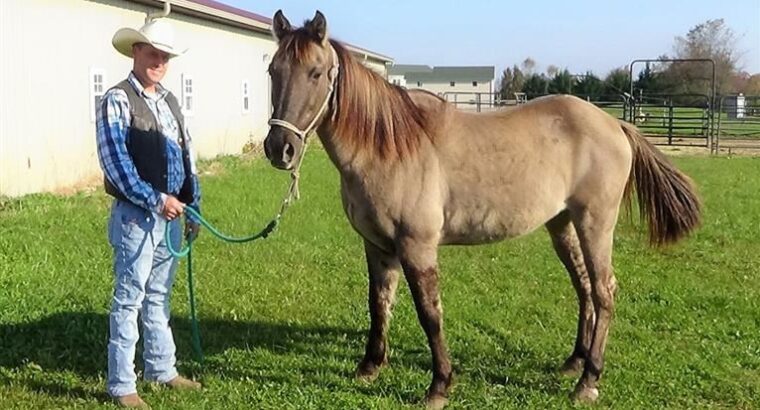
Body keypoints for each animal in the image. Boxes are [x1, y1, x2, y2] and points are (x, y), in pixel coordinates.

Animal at [262, 8, 700, 406]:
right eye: (272, 70)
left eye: (316, 73)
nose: (279, 148)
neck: (390, 147)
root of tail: (615, 125)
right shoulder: (377, 246)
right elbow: (379, 304)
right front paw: (370, 367)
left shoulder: (417, 246)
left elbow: (430, 313)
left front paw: (439, 386)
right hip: (562, 223)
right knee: (585, 287)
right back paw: (574, 362)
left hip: (595, 223)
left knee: (605, 290)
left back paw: (588, 382)